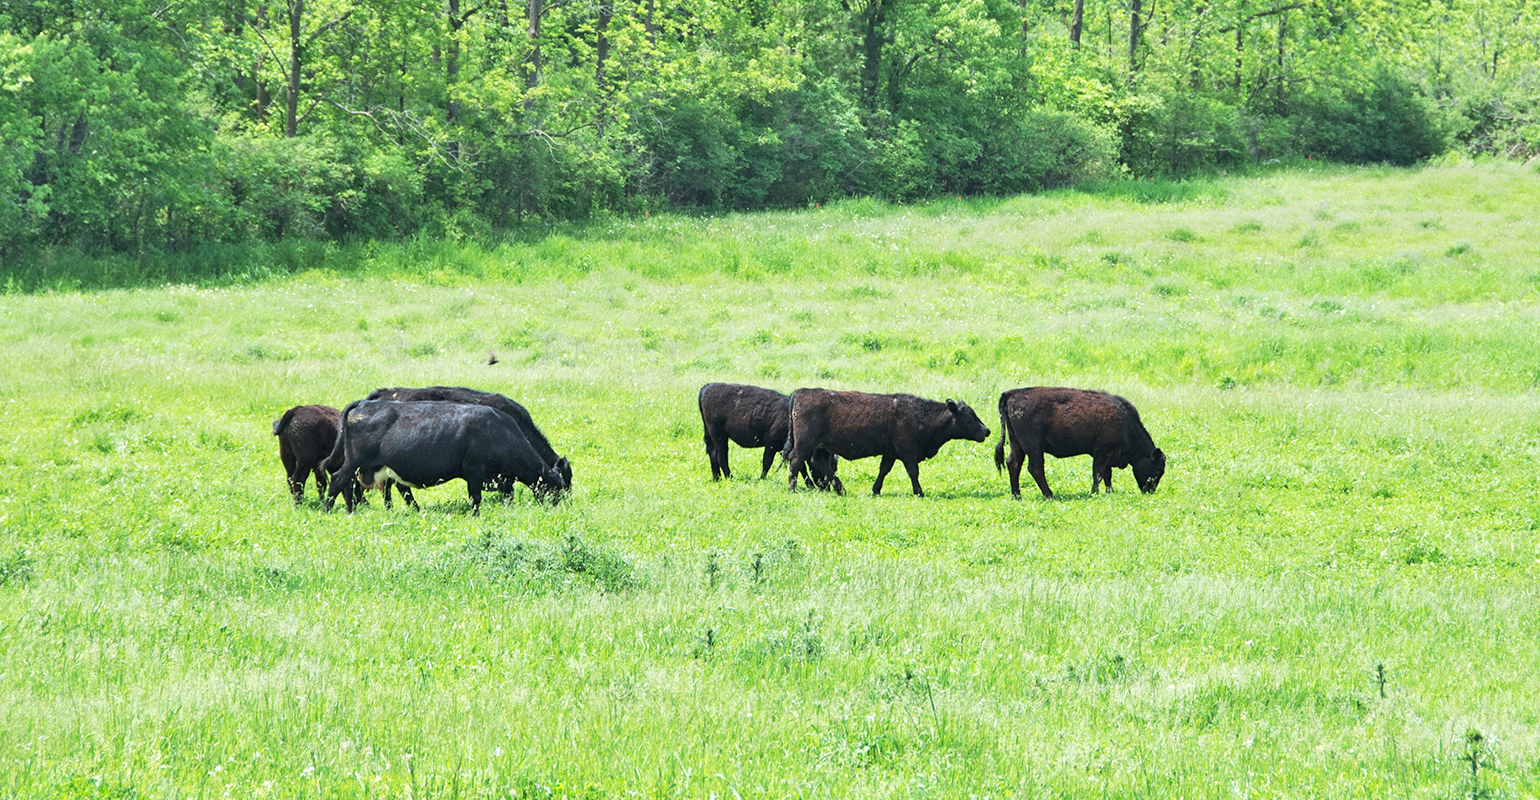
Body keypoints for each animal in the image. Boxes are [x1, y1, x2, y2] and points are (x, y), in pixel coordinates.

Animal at [326, 397, 566, 517]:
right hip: (355, 463)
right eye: (557, 487)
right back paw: (329, 510)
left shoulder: (499, 478)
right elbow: (476, 498)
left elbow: (507, 494)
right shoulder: (474, 471)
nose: (561, 508)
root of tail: (364, 403)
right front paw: (476, 516)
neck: (499, 431)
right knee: (338, 480)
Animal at [788, 389, 991, 496]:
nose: (986, 431)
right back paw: (792, 488)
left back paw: (840, 489)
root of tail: (800, 392)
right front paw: (919, 492)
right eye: (969, 417)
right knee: (796, 461)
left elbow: (884, 470)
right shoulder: (908, 452)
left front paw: (876, 490)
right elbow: (913, 471)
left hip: (822, 447)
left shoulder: (890, 453)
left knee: (820, 463)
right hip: (805, 443)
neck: (921, 415)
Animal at [997, 385, 1164, 496]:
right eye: (1157, 470)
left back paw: (1017, 496)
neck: (1127, 424)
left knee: (1013, 463)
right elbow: (1098, 473)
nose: (1150, 491)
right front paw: (1094, 494)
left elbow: (1107, 474)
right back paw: (1050, 495)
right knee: (1035, 468)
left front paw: (1109, 492)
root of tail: (1010, 394)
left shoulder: (1106, 455)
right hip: (1033, 447)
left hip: (1016, 443)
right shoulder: (1102, 452)